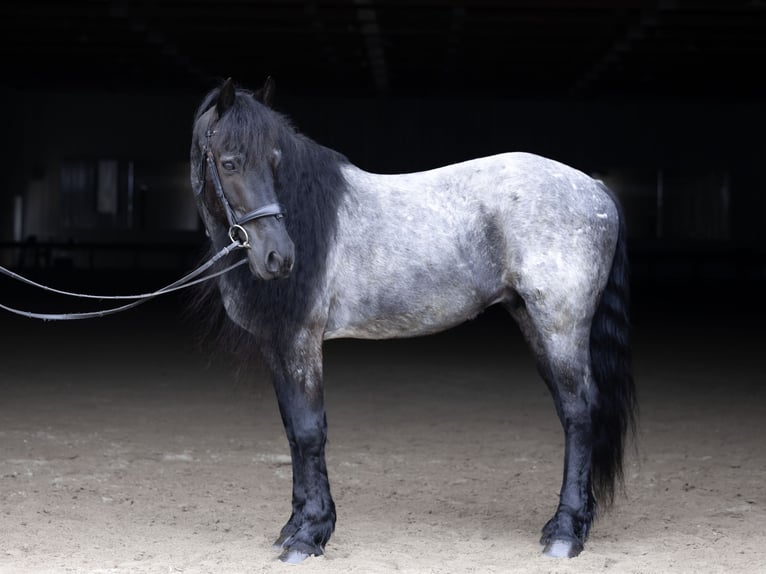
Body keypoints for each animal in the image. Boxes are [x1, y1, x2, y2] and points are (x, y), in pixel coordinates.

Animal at [188, 77, 636, 563]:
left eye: (275, 162)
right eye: (230, 163)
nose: (279, 258)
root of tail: (594, 187)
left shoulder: (301, 340)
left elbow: (308, 431)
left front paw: (309, 536)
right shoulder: (279, 345)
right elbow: (292, 430)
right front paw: (293, 527)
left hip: (561, 326)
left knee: (579, 412)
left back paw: (565, 533)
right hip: (534, 323)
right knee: (569, 410)